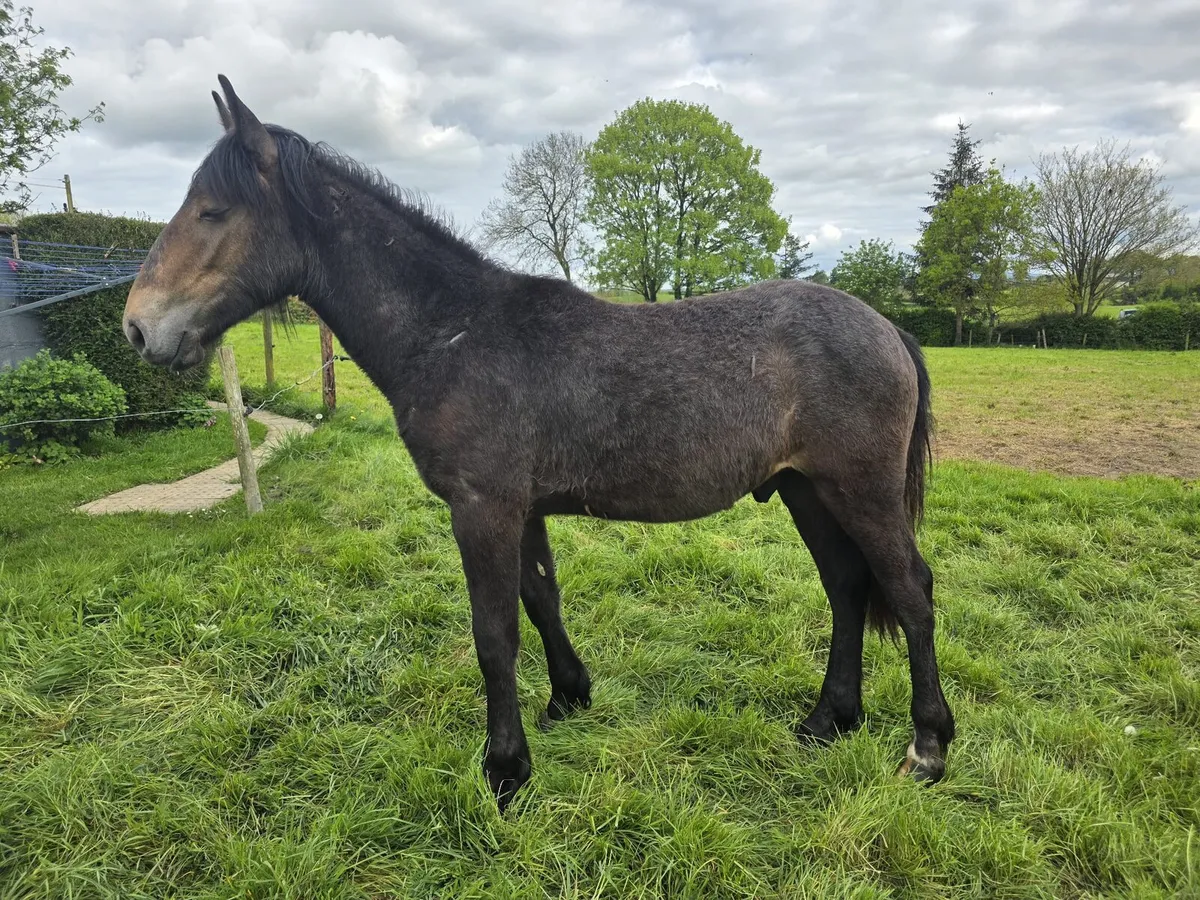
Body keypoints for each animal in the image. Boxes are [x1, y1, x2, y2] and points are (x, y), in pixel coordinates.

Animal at [123, 75, 954, 812]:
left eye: (213, 210)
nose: (137, 326)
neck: (455, 333)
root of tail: (888, 326)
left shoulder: (481, 509)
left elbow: (494, 633)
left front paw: (505, 771)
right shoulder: (519, 508)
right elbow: (541, 596)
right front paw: (568, 698)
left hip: (860, 490)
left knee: (910, 590)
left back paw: (928, 748)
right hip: (805, 489)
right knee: (847, 588)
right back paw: (828, 721)